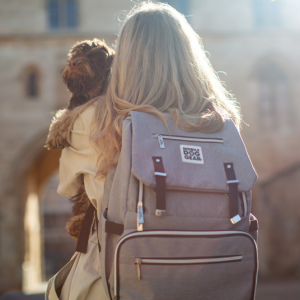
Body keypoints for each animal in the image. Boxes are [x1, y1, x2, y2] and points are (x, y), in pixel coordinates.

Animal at [46, 39, 114, 240]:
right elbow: (70, 109)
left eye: (93, 57)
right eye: (75, 54)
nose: (74, 63)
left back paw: (76, 224)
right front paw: (55, 132)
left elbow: (76, 110)